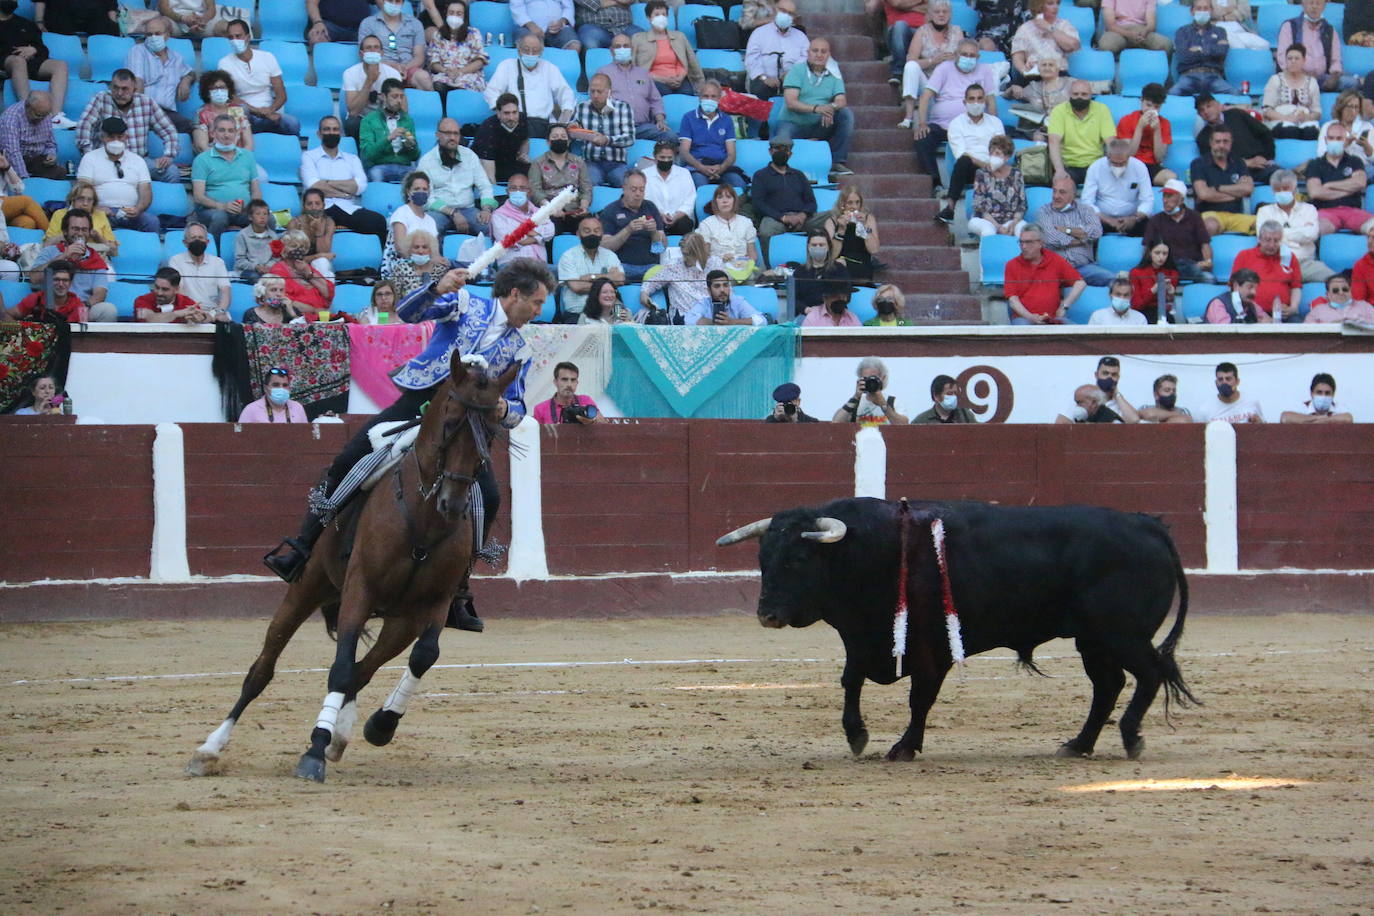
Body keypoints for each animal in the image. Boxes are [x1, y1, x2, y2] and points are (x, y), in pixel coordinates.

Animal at [185, 351, 516, 780]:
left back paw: (340, 734)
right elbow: (339, 669)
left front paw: (378, 725)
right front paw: (313, 752)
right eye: (449, 423)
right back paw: (209, 748)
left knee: (366, 667)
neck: (423, 522)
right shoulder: (360, 589)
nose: (453, 504)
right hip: (309, 586)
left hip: (399, 619)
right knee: (263, 669)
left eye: (489, 432)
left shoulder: (435, 602)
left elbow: (422, 656)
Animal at [719, 497, 1203, 763]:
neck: (869, 549)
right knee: (1109, 685)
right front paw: (857, 735)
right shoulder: (862, 639)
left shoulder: (931, 648)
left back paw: (1130, 737)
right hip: (1094, 640)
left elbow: (920, 697)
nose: (767, 614)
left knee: (1148, 674)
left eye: (799, 559)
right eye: (762, 558)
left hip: (1122, 634)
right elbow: (850, 681)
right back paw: (1078, 745)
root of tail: (1146, 523)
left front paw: (903, 747)